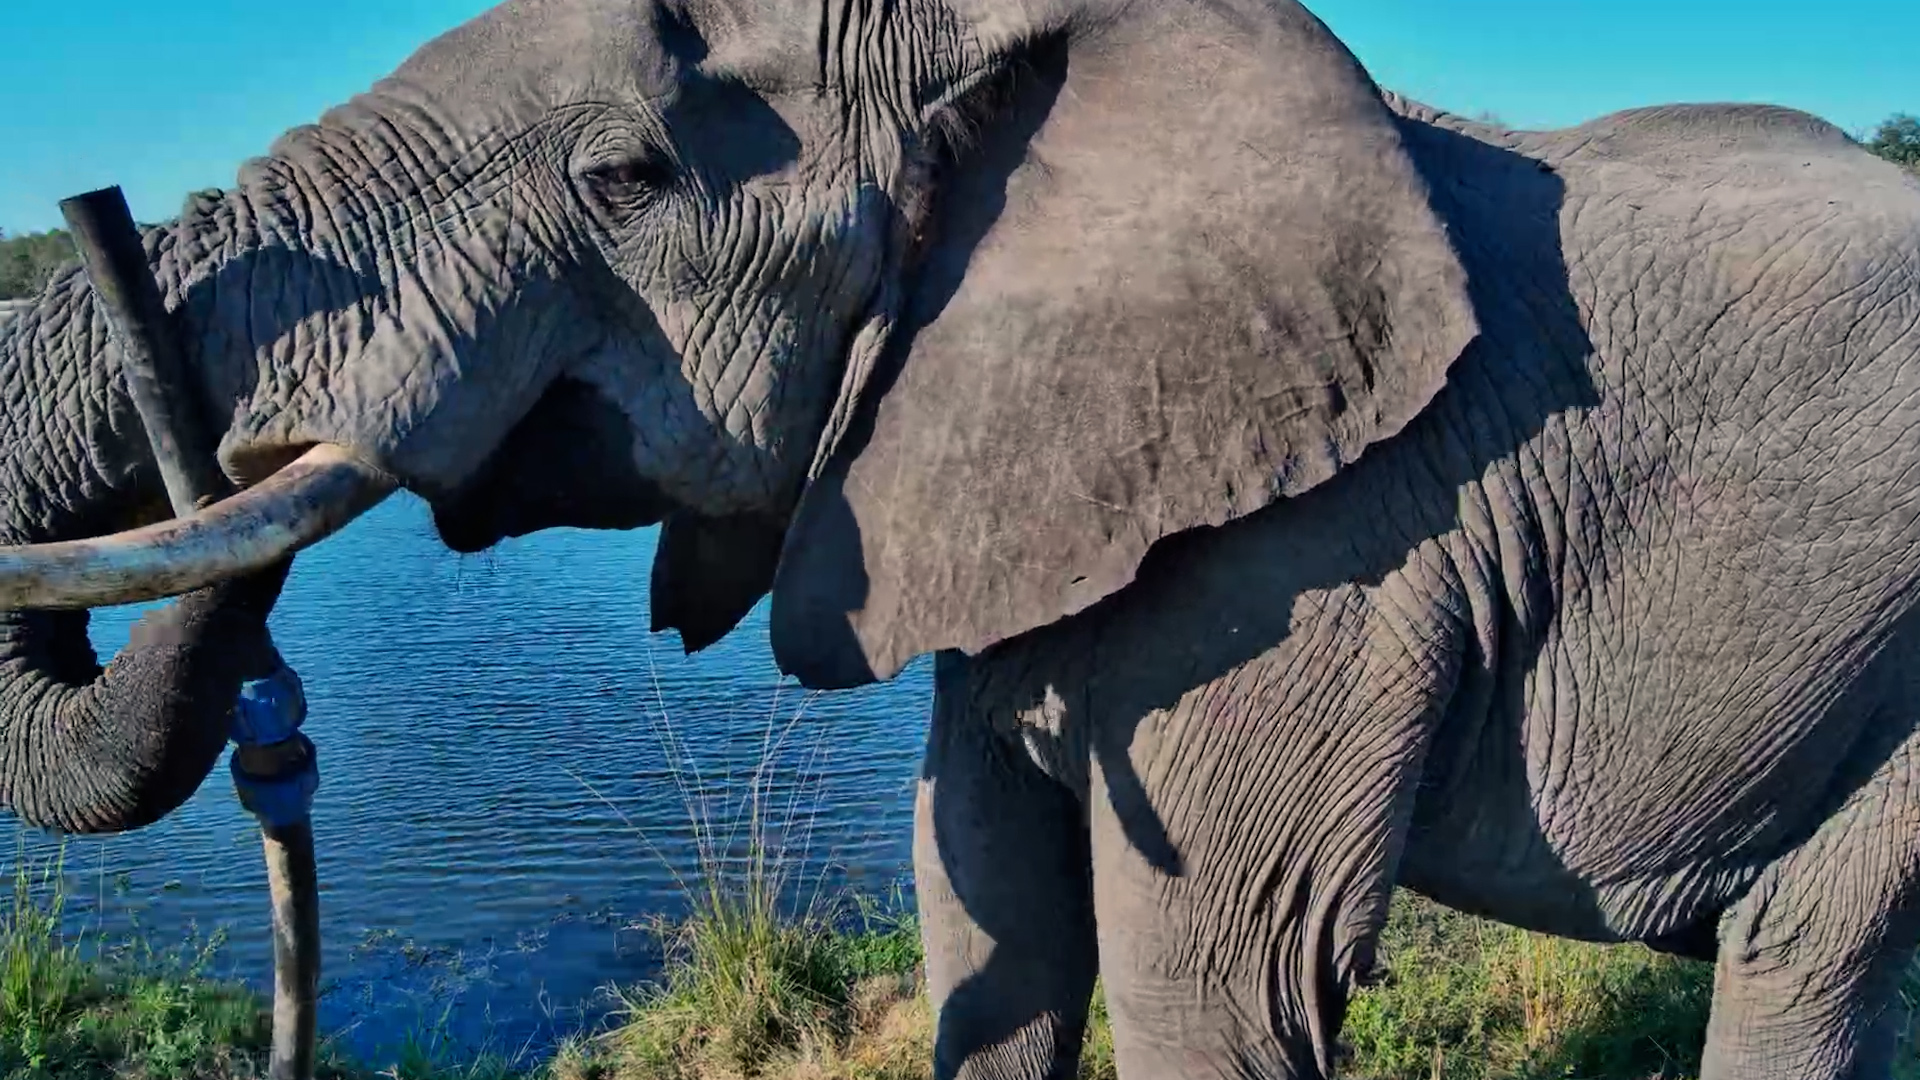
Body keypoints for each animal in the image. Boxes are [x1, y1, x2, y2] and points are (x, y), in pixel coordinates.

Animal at [1, 0, 1918, 1076]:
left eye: (624, 179)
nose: (87, 206)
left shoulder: (1333, 550)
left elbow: (1216, 985)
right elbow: (985, 916)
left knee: (1804, 958)